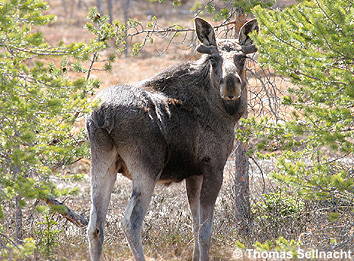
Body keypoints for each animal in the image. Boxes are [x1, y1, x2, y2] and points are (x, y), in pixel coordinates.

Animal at [85, 17, 258, 258]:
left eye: (241, 58)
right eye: (213, 59)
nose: (230, 83)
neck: (224, 112)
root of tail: (101, 115)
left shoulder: (194, 173)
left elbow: (195, 226)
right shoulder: (214, 168)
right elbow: (205, 232)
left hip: (102, 164)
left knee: (94, 226)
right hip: (146, 169)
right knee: (130, 222)